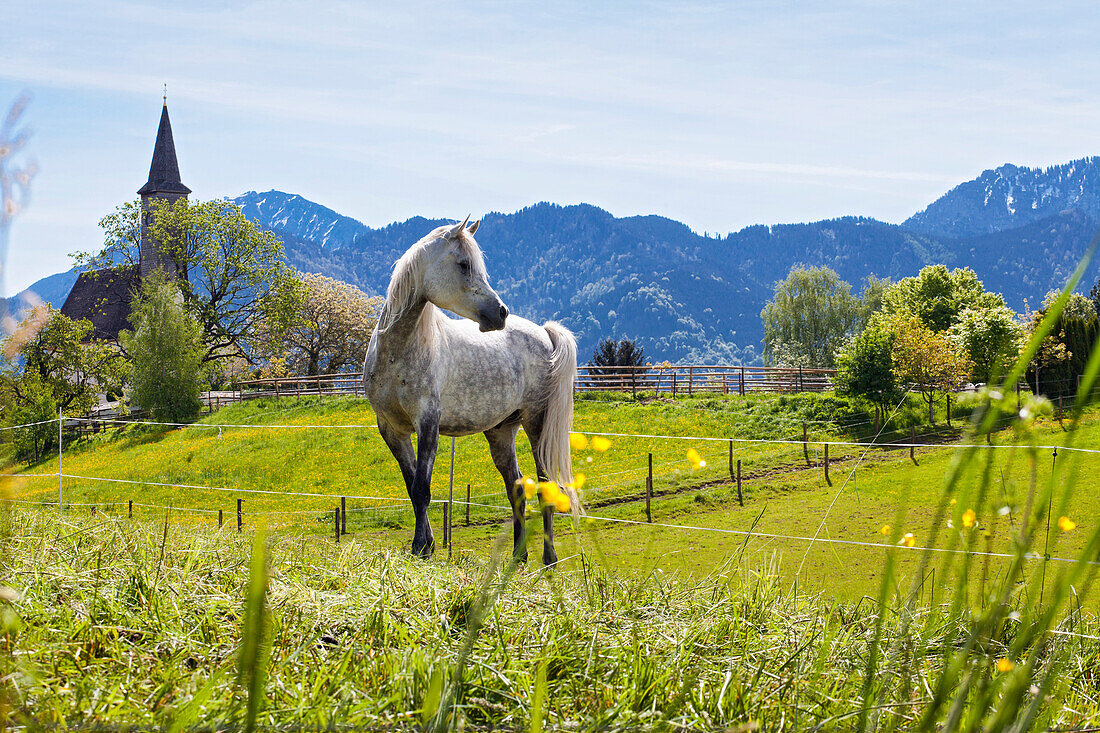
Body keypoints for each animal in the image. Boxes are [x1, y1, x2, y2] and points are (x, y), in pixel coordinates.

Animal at [365, 214, 580, 561]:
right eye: (464, 265)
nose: (501, 312)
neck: (398, 352)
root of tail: (544, 333)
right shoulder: (392, 430)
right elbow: (412, 488)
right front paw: (426, 545)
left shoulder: (428, 424)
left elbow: (422, 489)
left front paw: (421, 548)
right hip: (501, 431)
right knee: (516, 488)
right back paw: (518, 556)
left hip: (537, 424)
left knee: (544, 485)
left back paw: (549, 560)